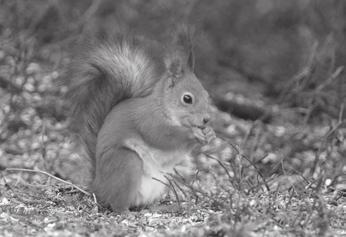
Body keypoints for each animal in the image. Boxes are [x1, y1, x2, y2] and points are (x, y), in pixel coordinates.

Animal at [67, 32, 215, 213]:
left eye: (207, 95)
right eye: (187, 98)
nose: (206, 119)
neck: (163, 107)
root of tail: (97, 186)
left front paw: (210, 134)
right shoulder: (147, 120)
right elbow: (163, 136)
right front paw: (193, 133)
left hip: (163, 180)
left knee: (143, 204)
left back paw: (159, 208)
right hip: (127, 163)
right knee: (118, 204)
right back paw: (126, 212)